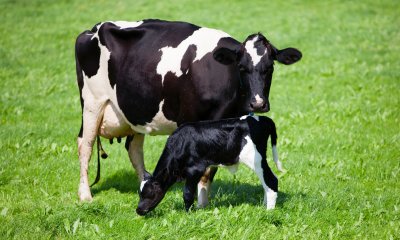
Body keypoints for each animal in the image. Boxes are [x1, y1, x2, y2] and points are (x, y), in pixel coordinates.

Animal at [74, 19, 300, 202]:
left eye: (270, 68)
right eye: (242, 67)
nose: (258, 104)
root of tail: (94, 29)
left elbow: (210, 170)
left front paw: (203, 203)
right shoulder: (189, 120)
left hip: (135, 111)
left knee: (134, 149)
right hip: (92, 102)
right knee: (85, 144)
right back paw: (85, 195)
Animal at [136, 115, 282, 216]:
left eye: (149, 194)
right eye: (140, 194)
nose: (138, 210)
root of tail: (262, 118)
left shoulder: (194, 169)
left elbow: (187, 193)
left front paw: (188, 214)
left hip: (255, 159)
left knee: (271, 180)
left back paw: (269, 211)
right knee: (266, 183)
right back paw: (264, 206)